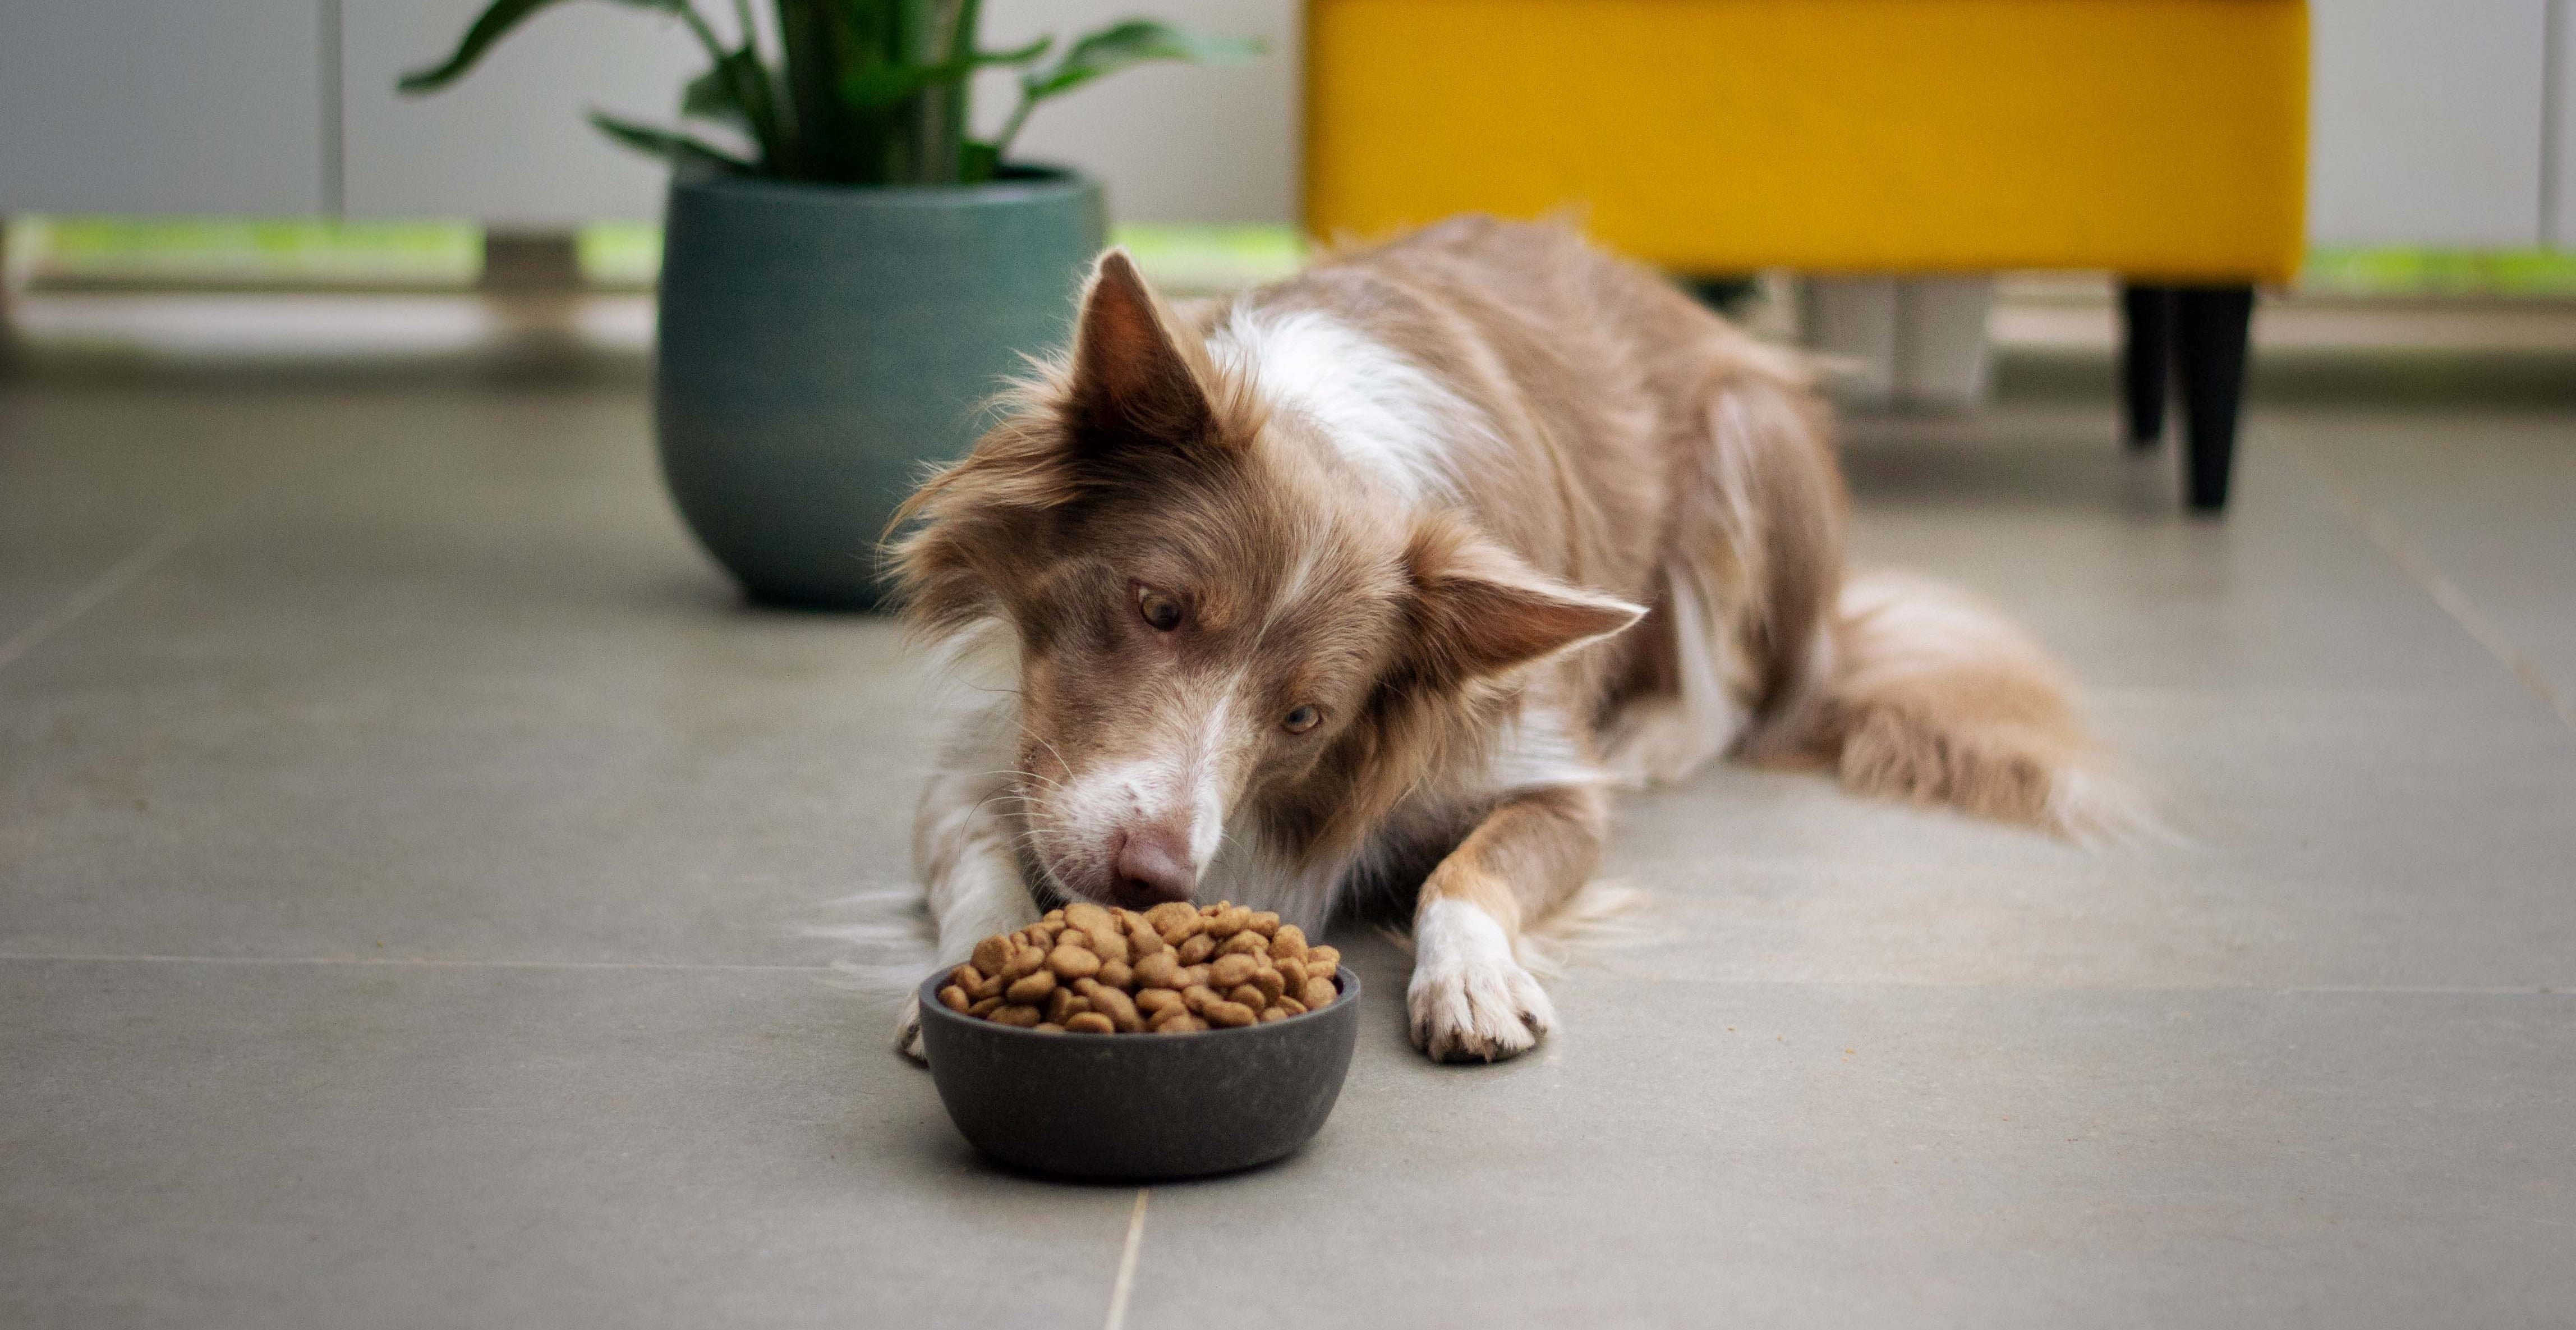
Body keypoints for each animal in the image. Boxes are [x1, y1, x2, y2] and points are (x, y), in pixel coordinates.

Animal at [876, 220, 2122, 1072]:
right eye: (1157, 608)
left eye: (1303, 719)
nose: (1151, 879)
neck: (1332, 439)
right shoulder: (1001, 755)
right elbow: (981, 860)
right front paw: (968, 972)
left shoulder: (1548, 776)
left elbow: (1463, 873)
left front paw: (1472, 977)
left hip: (1747, 438)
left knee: (1741, 693)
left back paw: (1659, 733)